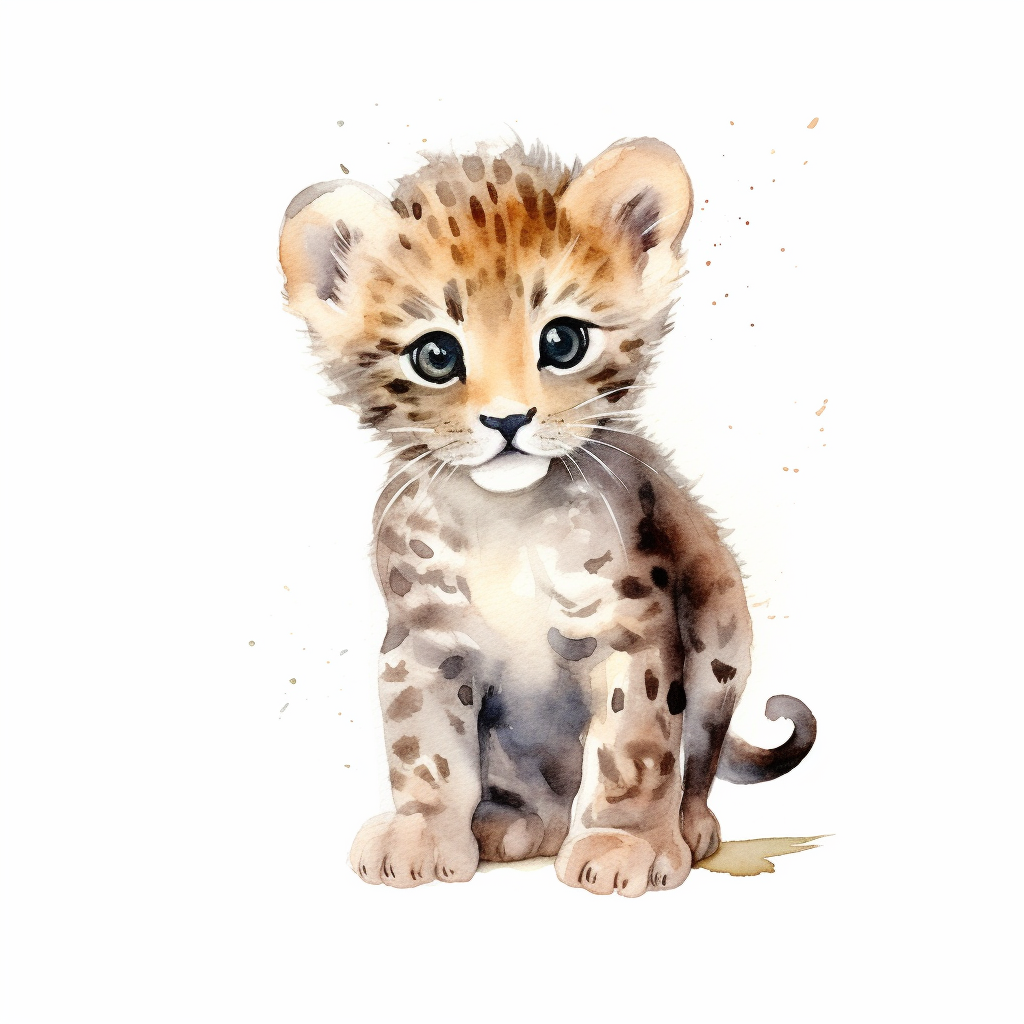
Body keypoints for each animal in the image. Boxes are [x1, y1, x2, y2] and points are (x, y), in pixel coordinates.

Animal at [278, 136, 816, 896]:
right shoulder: (424, 641)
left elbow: (634, 743)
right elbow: (424, 748)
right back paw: (514, 823)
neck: (507, 520)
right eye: (436, 355)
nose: (507, 420)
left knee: (701, 755)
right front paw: (421, 834)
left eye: (563, 341)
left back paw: (687, 828)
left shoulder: (629, 628)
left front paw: (624, 843)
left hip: (722, 639)